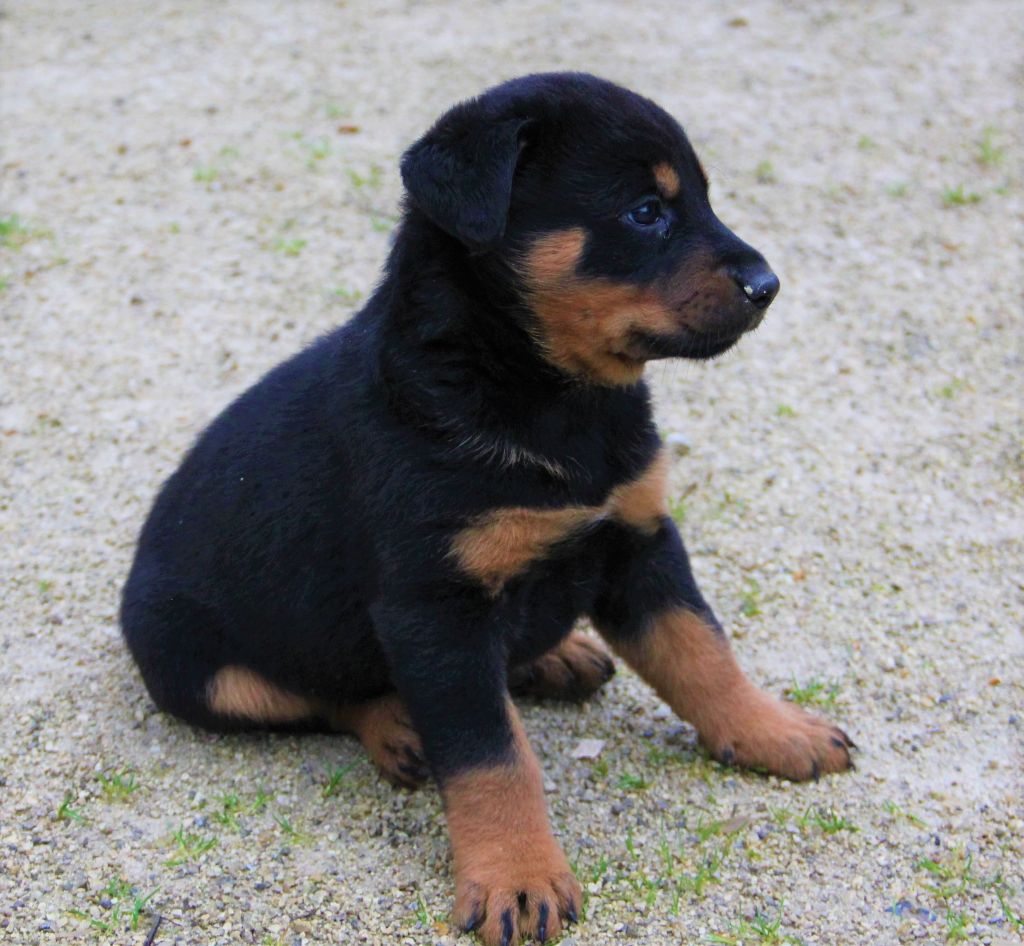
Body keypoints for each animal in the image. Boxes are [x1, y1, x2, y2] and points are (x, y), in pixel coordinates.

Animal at [121, 70, 856, 941]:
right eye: (646, 211)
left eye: (705, 198)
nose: (768, 286)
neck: (545, 399)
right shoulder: (434, 608)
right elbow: (490, 756)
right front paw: (517, 875)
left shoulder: (638, 538)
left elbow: (703, 652)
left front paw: (773, 732)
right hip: (194, 667)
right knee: (321, 693)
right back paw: (399, 724)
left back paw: (551, 655)